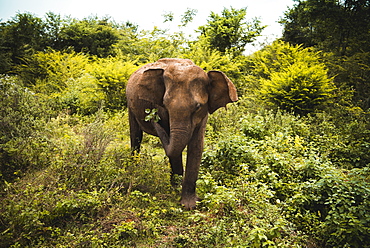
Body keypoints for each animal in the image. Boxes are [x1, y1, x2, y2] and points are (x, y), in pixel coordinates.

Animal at [126, 58, 237, 209]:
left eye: (198, 107)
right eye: (165, 104)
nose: (152, 118)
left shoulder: (203, 115)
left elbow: (196, 146)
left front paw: (189, 204)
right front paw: (176, 189)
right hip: (130, 106)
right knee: (136, 137)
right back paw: (132, 172)